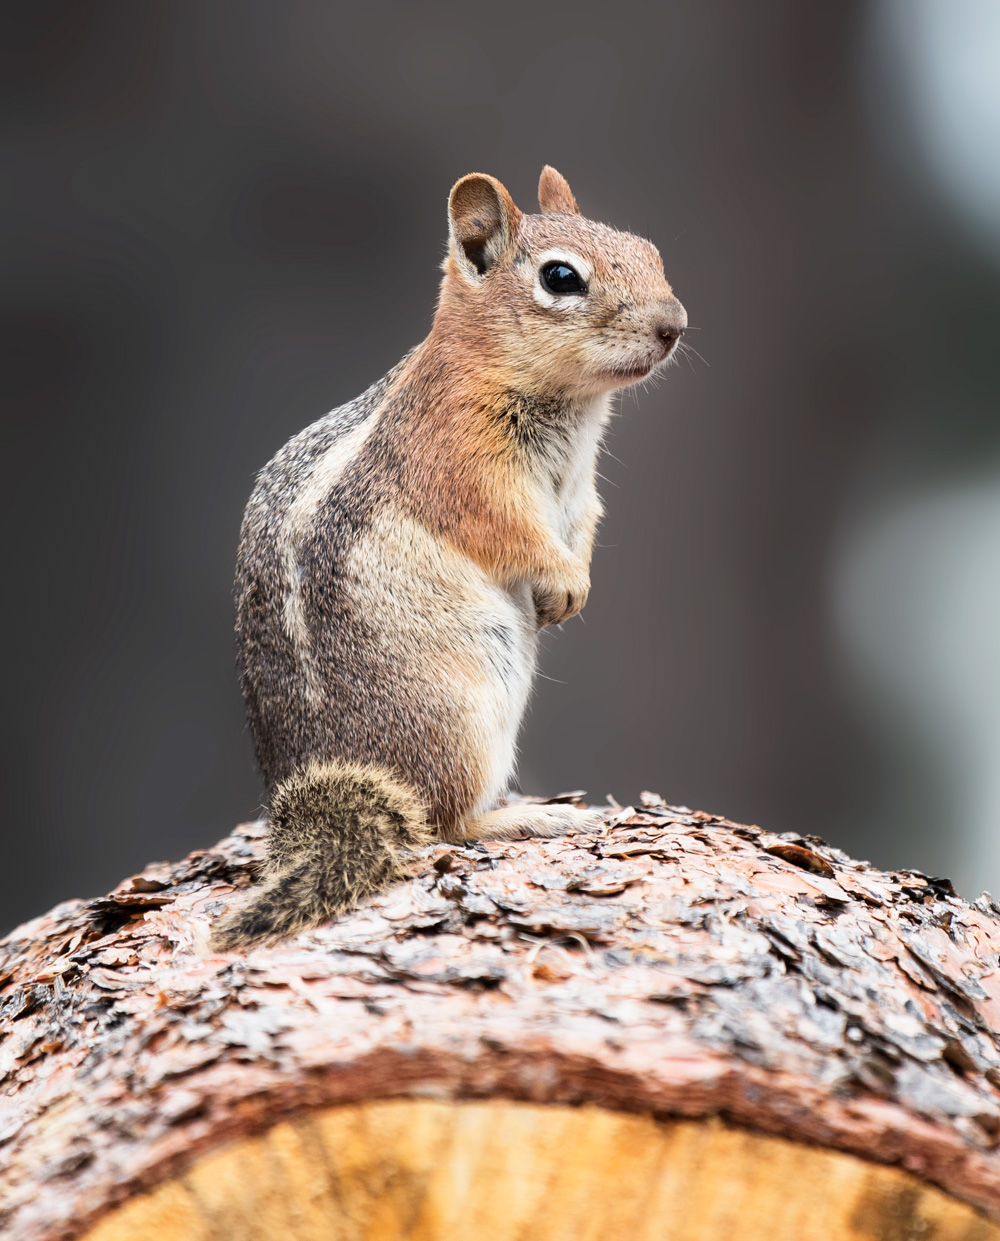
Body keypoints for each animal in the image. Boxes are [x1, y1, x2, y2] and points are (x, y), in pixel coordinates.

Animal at [210, 160, 689, 943]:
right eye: (561, 277)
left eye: (647, 249)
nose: (673, 326)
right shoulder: (465, 467)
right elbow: (513, 532)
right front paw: (563, 582)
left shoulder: (581, 488)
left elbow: (584, 521)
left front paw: (573, 586)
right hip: (463, 719)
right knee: (445, 822)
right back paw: (527, 816)